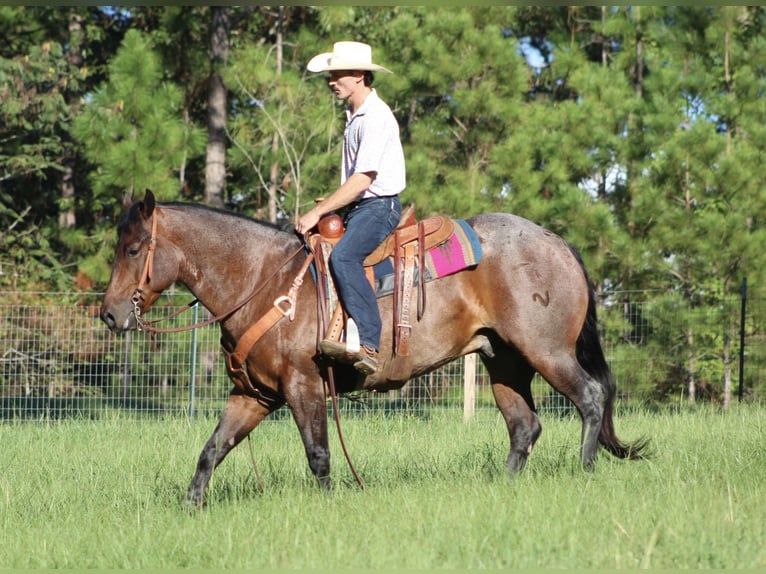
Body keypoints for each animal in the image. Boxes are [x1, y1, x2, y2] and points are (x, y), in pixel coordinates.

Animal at [99, 191, 644, 506]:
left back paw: (584, 470)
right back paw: (505, 487)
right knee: (524, 427)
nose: (109, 314)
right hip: (505, 363)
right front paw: (190, 507)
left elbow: (319, 454)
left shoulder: (303, 386)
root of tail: (558, 242)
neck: (262, 279)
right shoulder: (255, 395)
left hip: (547, 352)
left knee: (590, 399)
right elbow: (212, 450)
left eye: (133, 249)